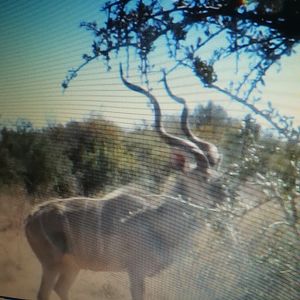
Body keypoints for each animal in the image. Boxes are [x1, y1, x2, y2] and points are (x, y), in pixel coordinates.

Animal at [25, 66, 221, 300]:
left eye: (218, 174)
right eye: (202, 177)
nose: (223, 196)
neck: (158, 221)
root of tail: (30, 217)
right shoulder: (135, 271)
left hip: (73, 266)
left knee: (61, 288)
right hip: (51, 264)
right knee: (44, 292)